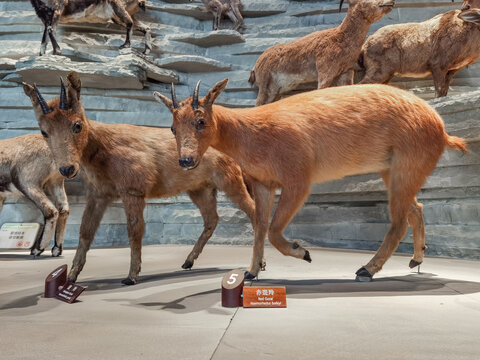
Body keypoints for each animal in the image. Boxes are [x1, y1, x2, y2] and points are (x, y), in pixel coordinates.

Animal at [23, 71, 255, 286]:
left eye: (77, 125)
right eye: (44, 131)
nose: (67, 168)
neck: (103, 152)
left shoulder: (133, 189)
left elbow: (134, 230)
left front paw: (131, 276)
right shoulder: (98, 194)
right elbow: (86, 231)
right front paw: (71, 276)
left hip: (230, 179)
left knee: (252, 209)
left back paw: (255, 267)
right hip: (200, 188)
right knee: (212, 219)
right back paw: (188, 261)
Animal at [157, 80, 464, 282]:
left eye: (200, 121)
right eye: (172, 127)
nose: (186, 161)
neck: (250, 133)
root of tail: (442, 131)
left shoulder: (298, 180)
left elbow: (273, 230)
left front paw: (303, 252)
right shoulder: (263, 184)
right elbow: (260, 225)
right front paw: (252, 271)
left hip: (406, 168)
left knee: (399, 222)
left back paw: (366, 269)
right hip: (394, 172)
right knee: (416, 209)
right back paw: (415, 259)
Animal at [248, 0, 394, 105]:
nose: (391, 2)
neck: (341, 37)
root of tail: (256, 65)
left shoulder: (345, 73)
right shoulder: (325, 74)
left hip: (275, 92)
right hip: (265, 88)